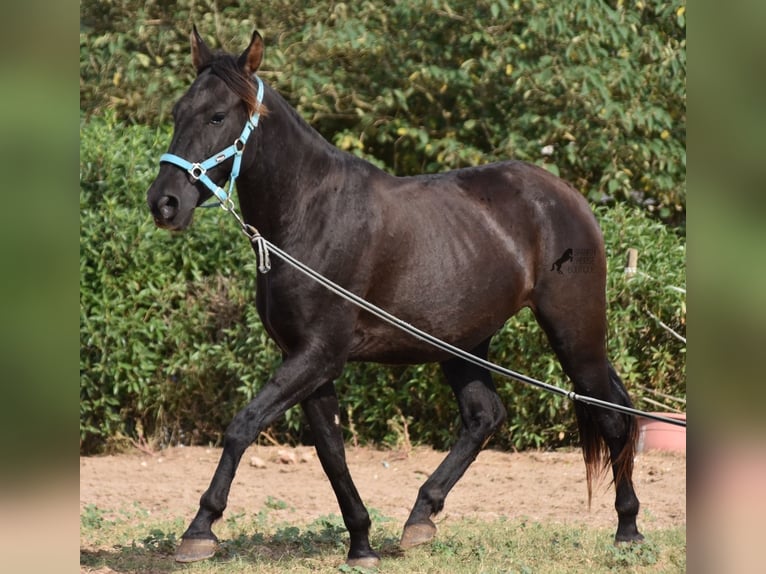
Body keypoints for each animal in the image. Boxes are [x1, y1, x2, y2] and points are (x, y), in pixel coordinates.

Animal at [147, 29, 644, 568]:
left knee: (611, 416)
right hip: (464, 343)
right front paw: (361, 542)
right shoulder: (308, 360)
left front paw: (199, 529)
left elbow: (243, 424)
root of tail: (571, 200)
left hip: (574, 333)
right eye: (177, 112)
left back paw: (628, 529)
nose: (164, 203)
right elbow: (331, 452)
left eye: (218, 116)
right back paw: (420, 518)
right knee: (485, 416)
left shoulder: (318, 355)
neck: (309, 215)